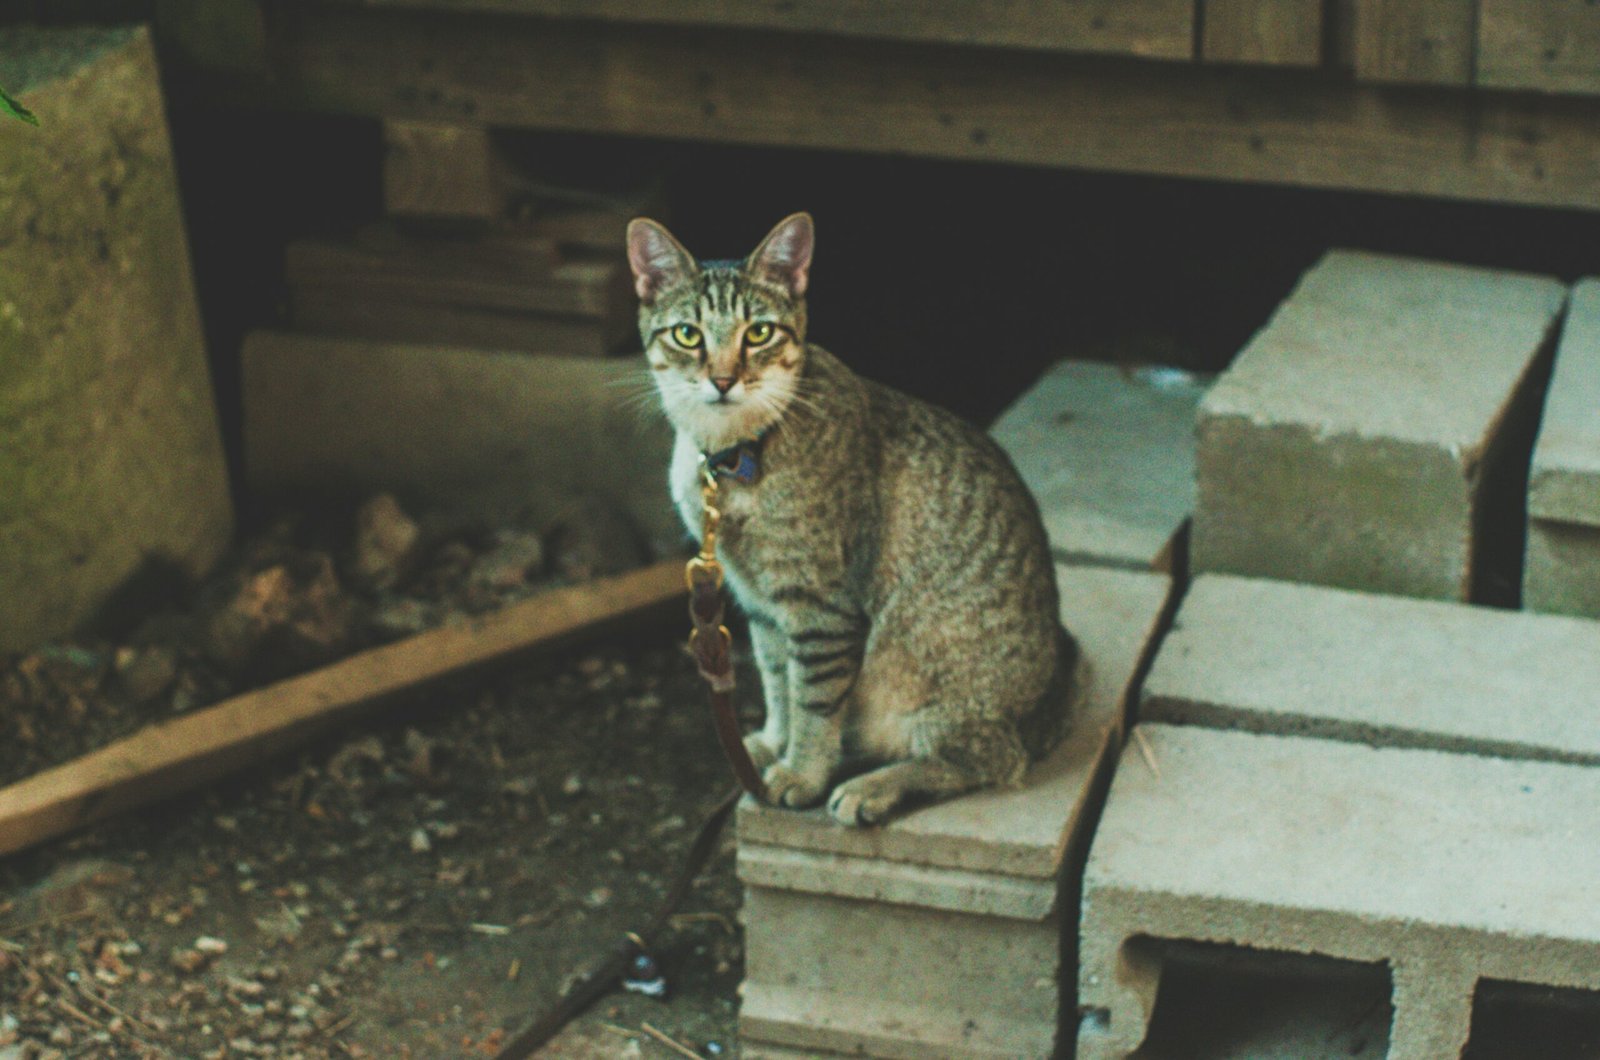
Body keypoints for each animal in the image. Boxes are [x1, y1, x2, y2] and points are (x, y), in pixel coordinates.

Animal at [630, 214, 1081, 832]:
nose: (723, 380)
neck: (734, 455)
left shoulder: (821, 608)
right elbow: (777, 681)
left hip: (934, 686)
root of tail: (1051, 689)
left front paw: (802, 773)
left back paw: (875, 786)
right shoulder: (759, 604)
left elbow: (814, 703)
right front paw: (772, 742)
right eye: (688, 335)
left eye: (759, 334)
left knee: (991, 758)